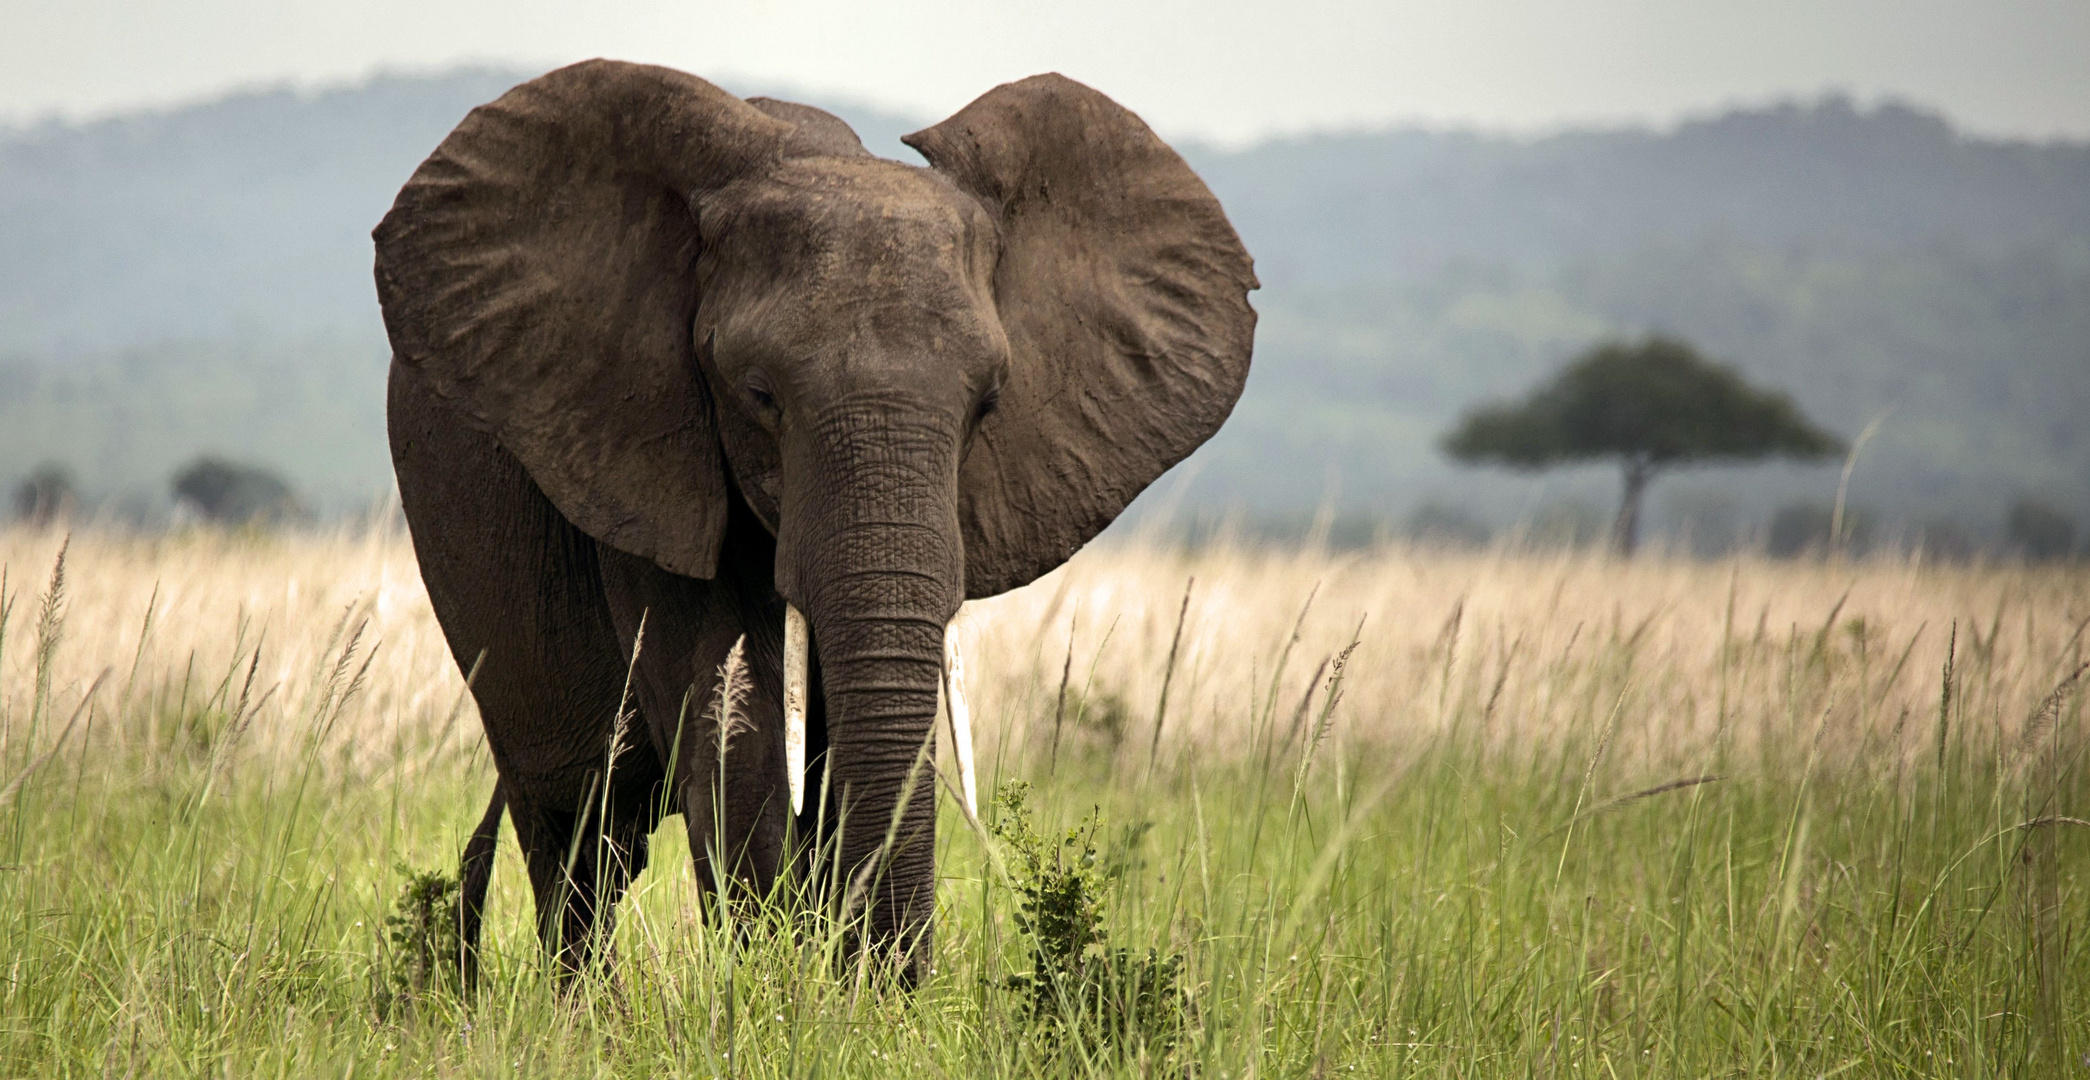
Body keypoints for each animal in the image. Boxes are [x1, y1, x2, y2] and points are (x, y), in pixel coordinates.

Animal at [372, 59, 1254, 985]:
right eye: (759, 395)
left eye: (988, 403)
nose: (896, 988)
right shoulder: (645, 463)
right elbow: (741, 744)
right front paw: (782, 990)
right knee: (579, 827)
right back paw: (583, 1007)